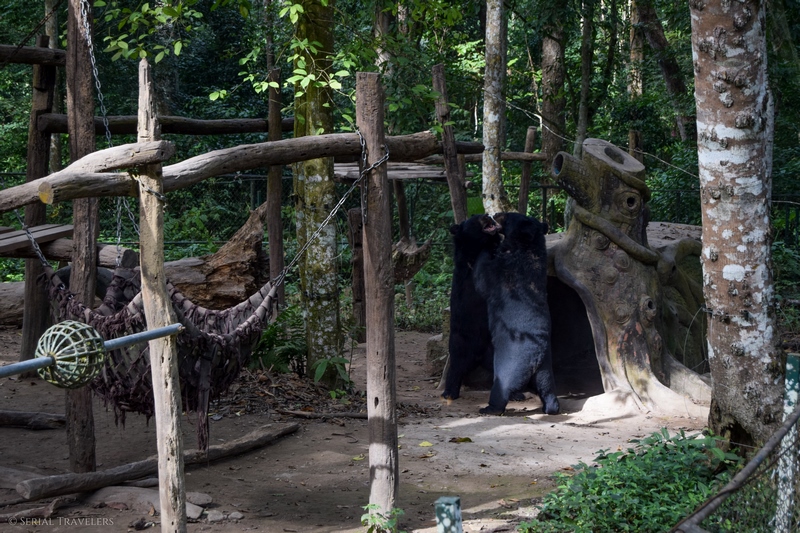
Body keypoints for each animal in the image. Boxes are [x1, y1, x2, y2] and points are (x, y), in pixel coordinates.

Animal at [440, 214, 502, 401]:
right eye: (476, 217)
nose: (487, 215)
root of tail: (478, 356)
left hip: (492, 347)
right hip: (459, 342)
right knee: (455, 368)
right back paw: (449, 392)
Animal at [473, 212, 559, 415]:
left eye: (508, 215)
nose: (495, 214)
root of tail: (537, 356)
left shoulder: (503, 272)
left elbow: (483, 278)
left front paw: (485, 246)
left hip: (509, 364)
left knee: (501, 387)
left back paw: (489, 409)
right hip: (546, 370)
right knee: (548, 389)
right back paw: (551, 407)